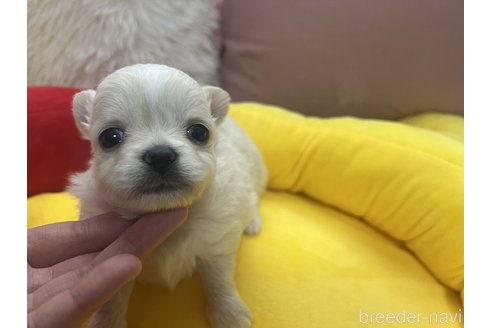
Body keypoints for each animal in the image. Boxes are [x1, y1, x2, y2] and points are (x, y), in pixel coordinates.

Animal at [67, 64, 268, 328]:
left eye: (199, 132)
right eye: (110, 137)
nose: (160, 155)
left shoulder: (217, 242)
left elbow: (219, 279)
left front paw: (229, 315)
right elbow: (113, 298)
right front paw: (107, 323)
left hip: (255, 172)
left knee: (254, 199)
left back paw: (252, 222)